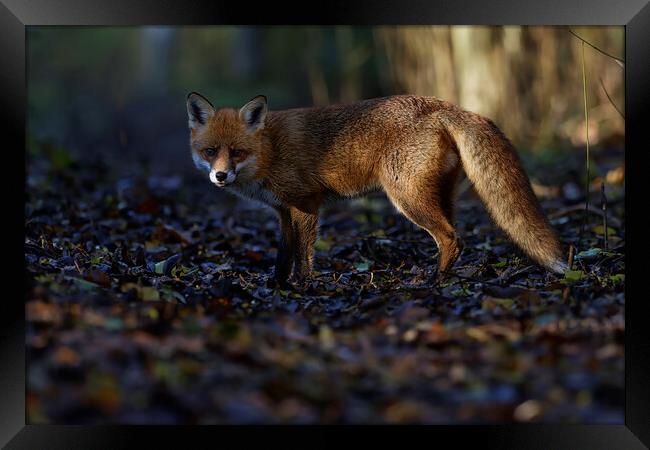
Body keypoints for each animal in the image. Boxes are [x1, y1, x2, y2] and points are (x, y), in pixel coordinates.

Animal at [185, 92, 564, 284]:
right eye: (210, 152)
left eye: (237, 152)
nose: (221, 176)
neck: (270, 150)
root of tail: (444, 104)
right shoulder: (283, 211)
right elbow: (283, 255)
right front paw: (276, 288)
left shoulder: (306, 204)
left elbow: (303, 257)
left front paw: (302, 289)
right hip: (439, 196)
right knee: (456, 235)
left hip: (407, 198)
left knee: (450, 238)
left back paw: (433, 282)